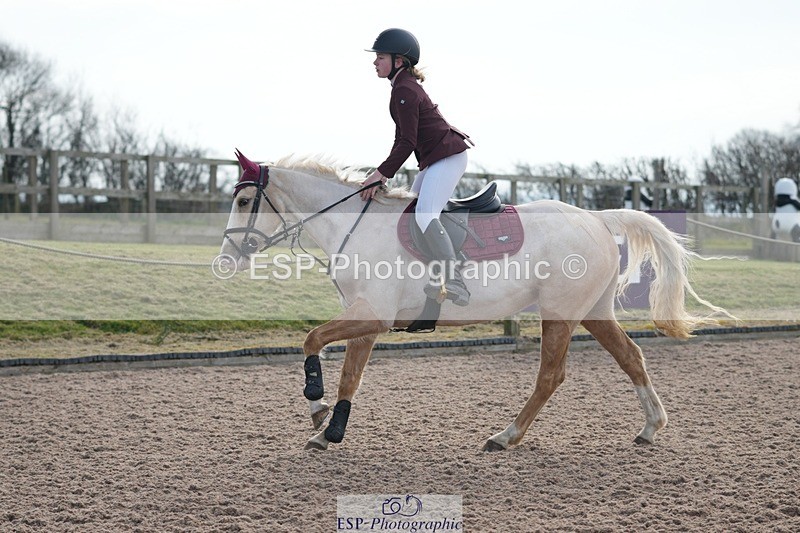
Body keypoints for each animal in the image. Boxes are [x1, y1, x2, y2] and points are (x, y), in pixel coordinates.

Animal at [218, 150, 730, 452]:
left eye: (244, 203)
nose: (226, 260)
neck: (355, 226)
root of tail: (598, 219)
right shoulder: (366, 319)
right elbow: (349, 375)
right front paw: (330, 428)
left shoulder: (372, 316)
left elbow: (312, 340)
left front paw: (315, 406)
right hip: (592, 311)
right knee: (631, 357)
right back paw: (650, 426)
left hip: (560, 313)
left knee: (551, 375)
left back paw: (506, 436)